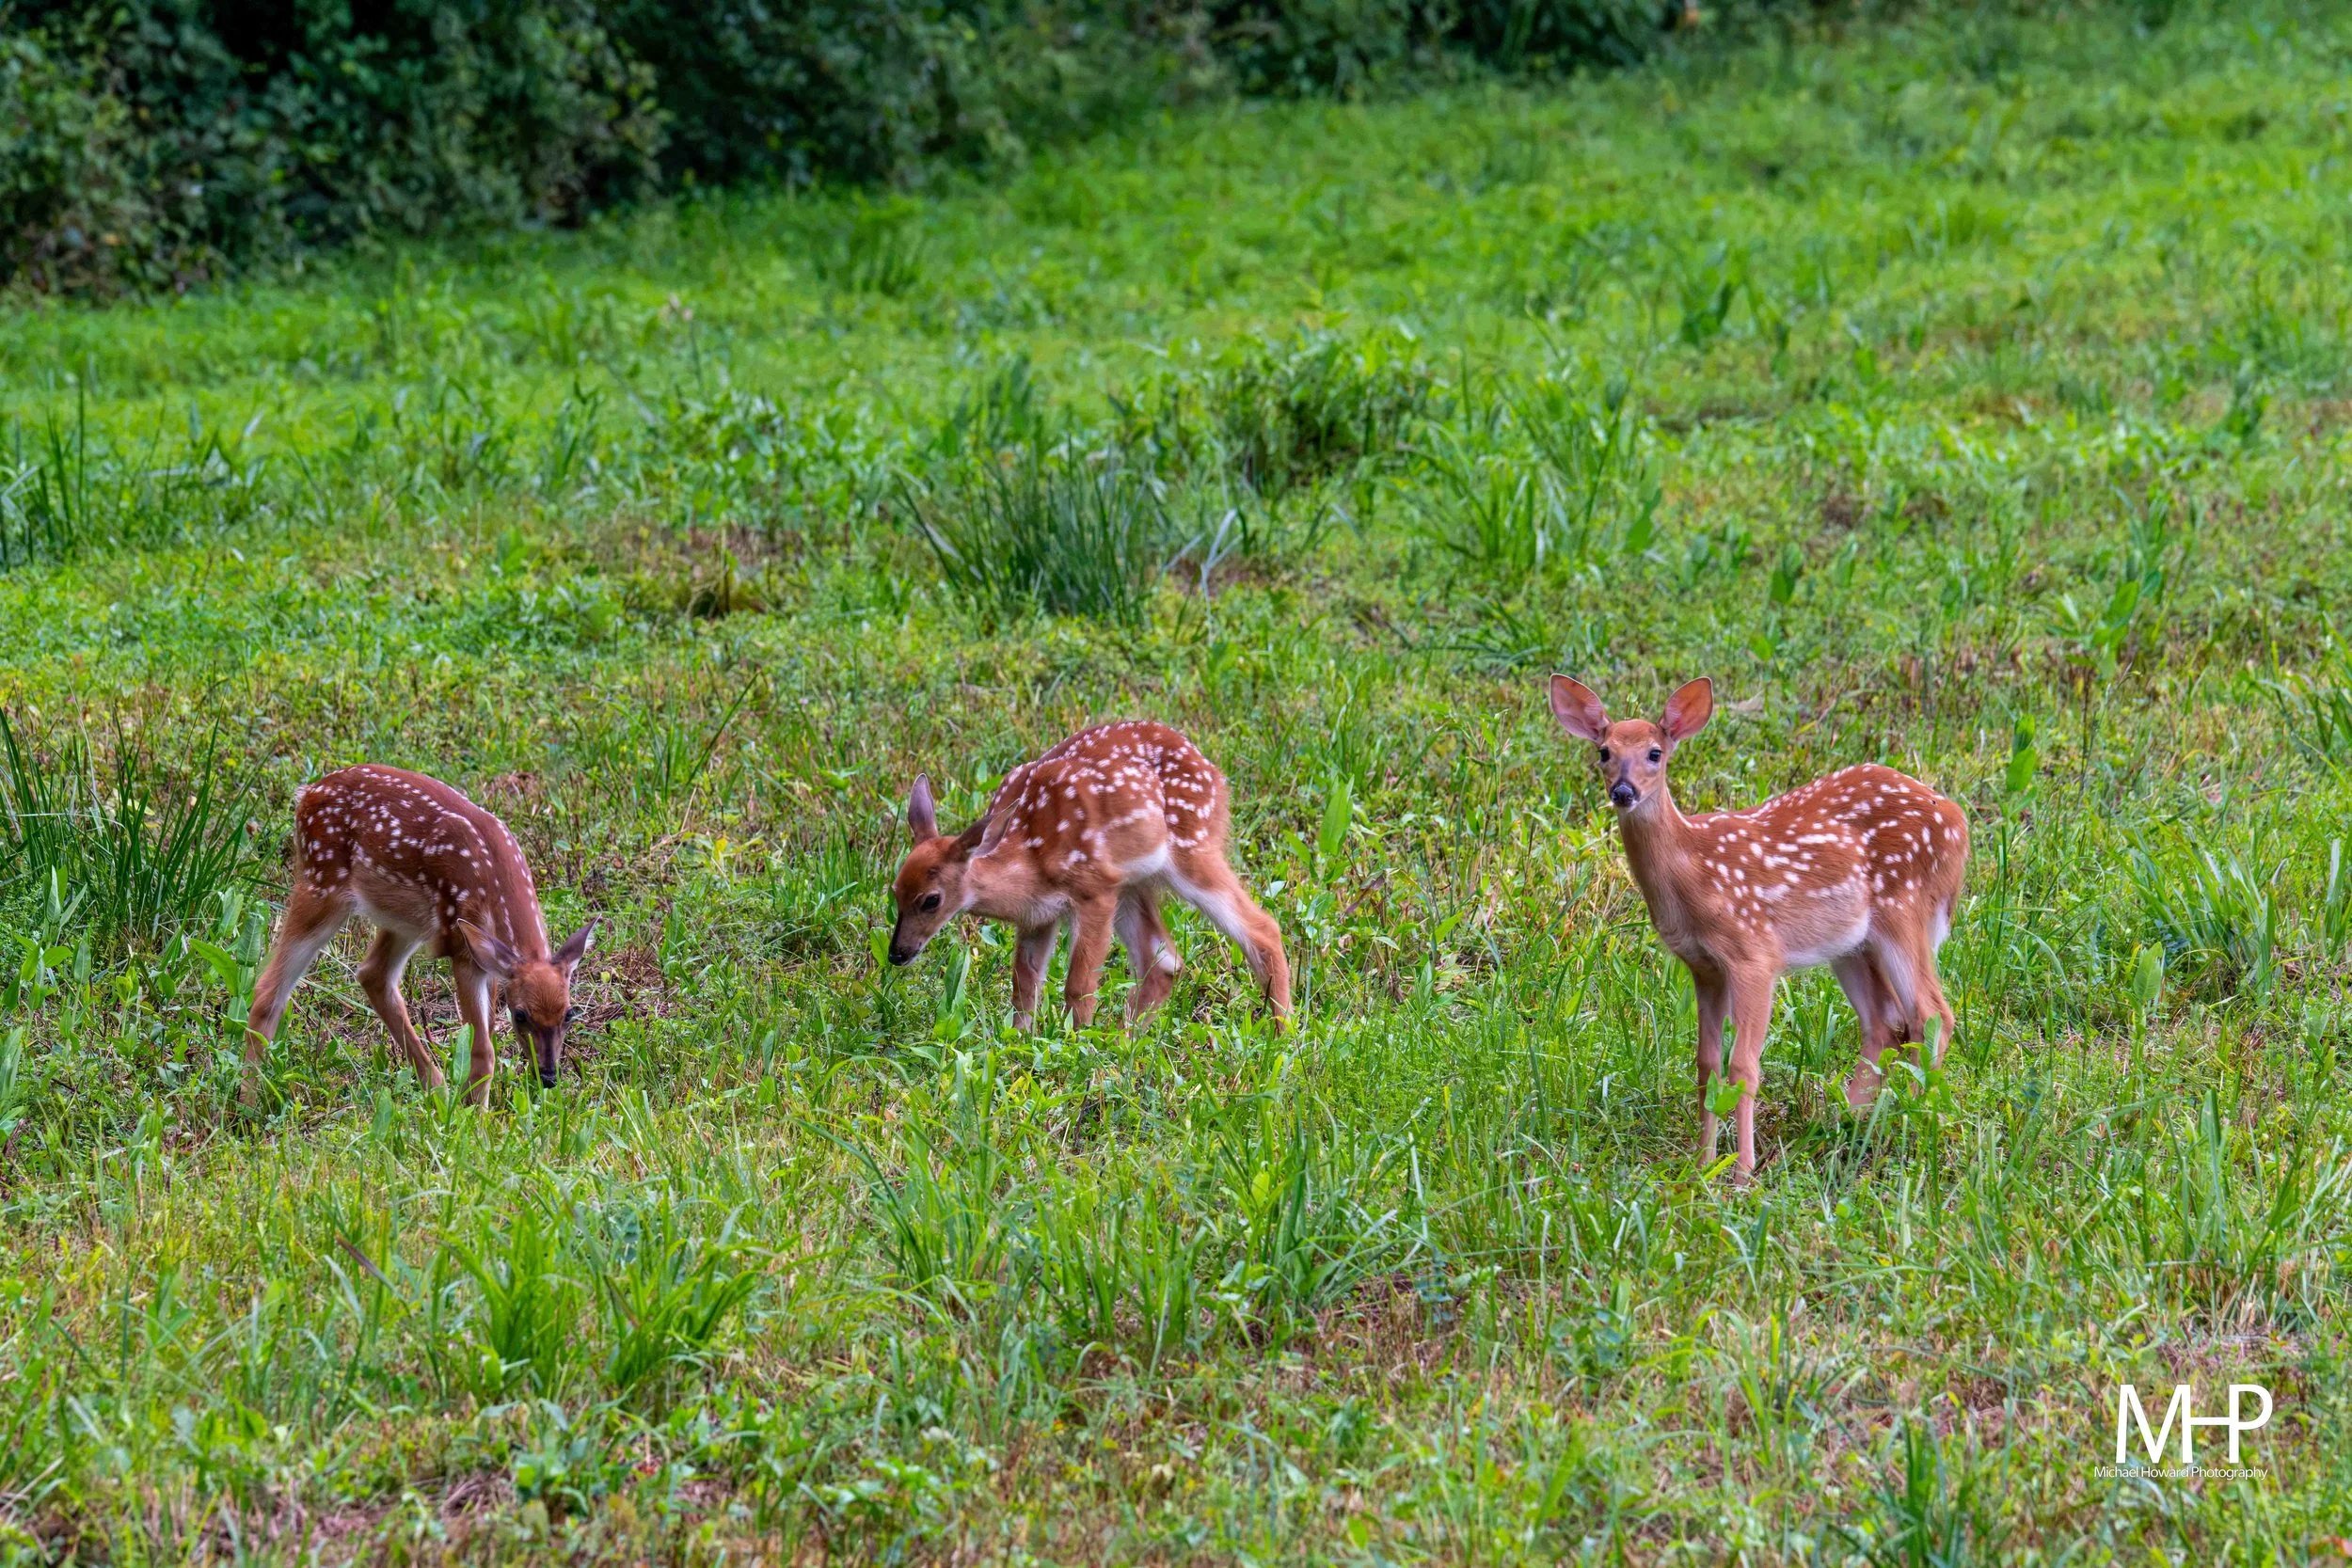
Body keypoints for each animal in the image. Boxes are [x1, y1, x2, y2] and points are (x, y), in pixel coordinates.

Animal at [243, 764, 598, 1105]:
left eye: (570, 1013)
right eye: (521, 1014)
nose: (548, 1076)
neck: (494, 878)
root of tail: (306, 793)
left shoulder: (488, 960)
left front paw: (470, 1107)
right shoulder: (462, 946)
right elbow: (483, 1050)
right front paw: (476, 1119)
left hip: (405, 920)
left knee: (373, 974)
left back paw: (438, 1092)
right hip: (321, 884)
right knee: (268, 987)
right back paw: (247, 1105)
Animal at [887, 721, 1291, 1030]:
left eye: (931, 900)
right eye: (895, 892)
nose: (897, 954)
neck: (1029, 854)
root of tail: (1216, 776)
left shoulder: (1092, 889)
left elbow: (1078, 985)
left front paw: (1075, 1043)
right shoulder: (1038, 915)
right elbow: (1024, 984)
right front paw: (1020, 1040)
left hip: (1191, 849)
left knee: (1263, 927)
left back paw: (1282, 1033)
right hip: (1131, 883)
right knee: (1164, 960)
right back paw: (1127, 1040)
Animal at [1548, 676, 1968, 1182]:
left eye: (1655, 752)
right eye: (1604, 752)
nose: (1623, 791)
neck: (1693, 873)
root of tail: (1958, 821)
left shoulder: (1753, 953)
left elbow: (1744, 1067)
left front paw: (1742, 1171)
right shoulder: (1702, 966)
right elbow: (1706, 1064)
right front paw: (1701, 1163)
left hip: (1903, 909)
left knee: (1932, 1012)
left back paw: (1914, 1120)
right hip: (1850, 945)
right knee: (1885, 1022)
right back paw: (1846, 1122)